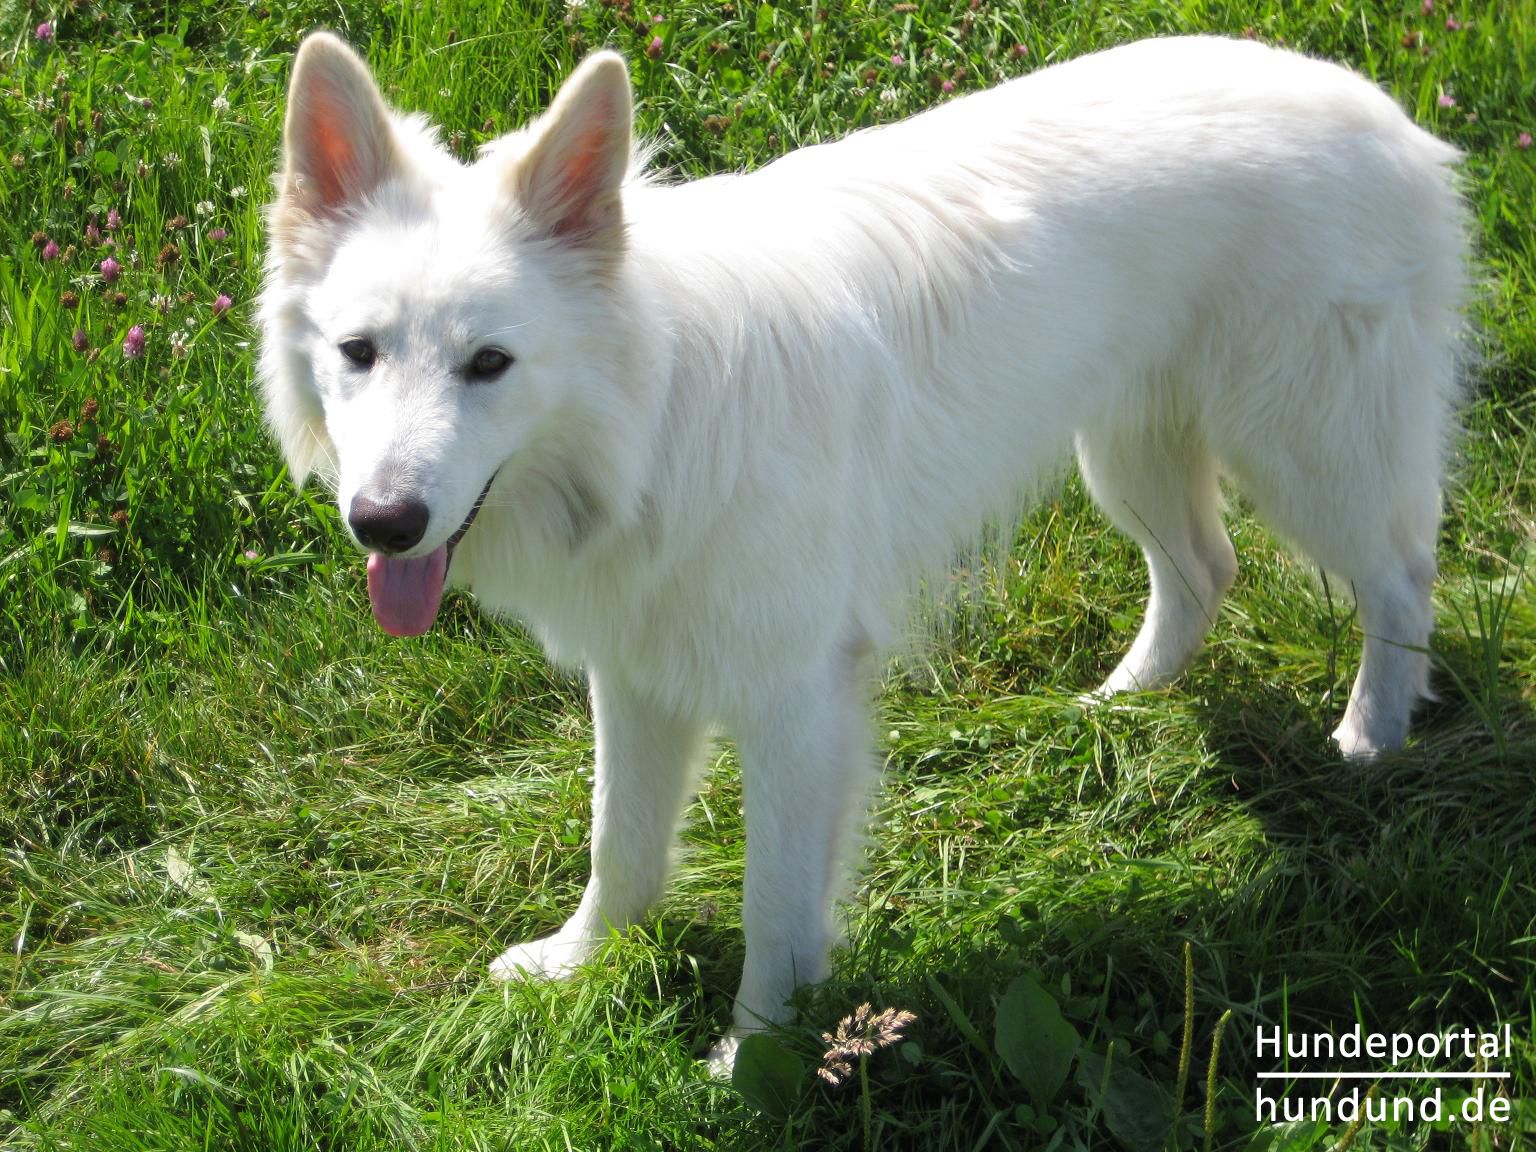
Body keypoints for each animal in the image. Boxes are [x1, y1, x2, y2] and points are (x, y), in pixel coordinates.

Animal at [261, 29, 1462, 1075]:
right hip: (1129, 453)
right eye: (359, 353)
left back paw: (1370, 738)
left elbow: (774, 906)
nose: (383, 523)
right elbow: (621, 842)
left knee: (1401, 576)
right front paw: (581, 963)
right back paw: (1120, 703)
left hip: (1305, 452)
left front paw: (755, 1056)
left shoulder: (796, 706)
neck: (655, 416)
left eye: (491, 364)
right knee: (1206, 570)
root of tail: (1379, 107)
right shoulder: (638, 670)